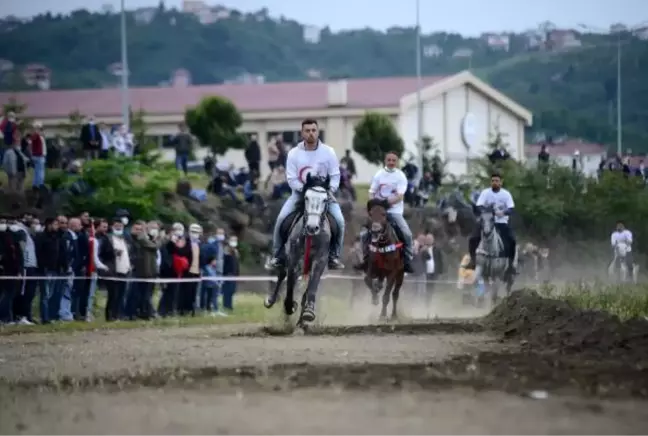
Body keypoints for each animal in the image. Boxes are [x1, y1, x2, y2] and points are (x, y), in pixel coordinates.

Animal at [264, 174, 334, 328]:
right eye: (306, 197)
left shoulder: (320, 261)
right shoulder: (293, 260)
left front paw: (308, 313)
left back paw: (301, 320)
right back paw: (272, 301)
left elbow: (312, 286)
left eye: (325, 199)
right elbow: (289, 285)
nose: (312, 227)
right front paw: (290, 306)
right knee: (281, 275)